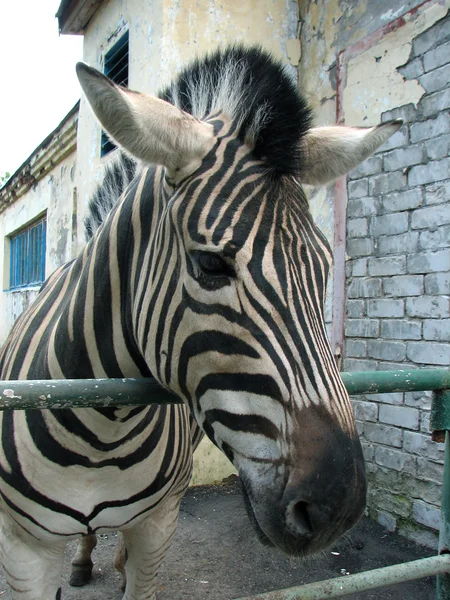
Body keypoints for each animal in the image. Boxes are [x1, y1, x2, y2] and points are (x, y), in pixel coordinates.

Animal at [0, 44, 400, 596]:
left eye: (324, 269)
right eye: (210, 265)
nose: (336, 508)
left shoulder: (159, 524)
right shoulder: (24, 549)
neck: (102, 432)